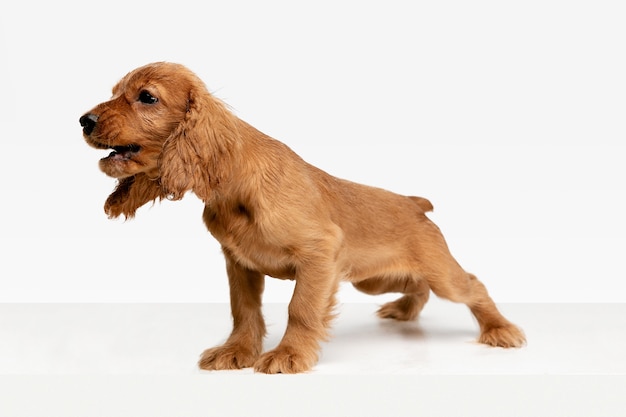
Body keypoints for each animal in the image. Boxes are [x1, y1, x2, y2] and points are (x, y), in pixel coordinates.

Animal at [80, 62, 524, 374]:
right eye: (115, 93)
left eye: (147, 97)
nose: (84, 121)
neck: (234, 187)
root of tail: (413, 203)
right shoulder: (238, 263)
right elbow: (244, 310)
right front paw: (237, 351)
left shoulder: (319, 254)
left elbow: (302, 309)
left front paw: (289, 354)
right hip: (375, 279)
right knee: (418, 287)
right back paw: (403, 311)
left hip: (436, 271)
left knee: (472, 285)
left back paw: (500, 329)